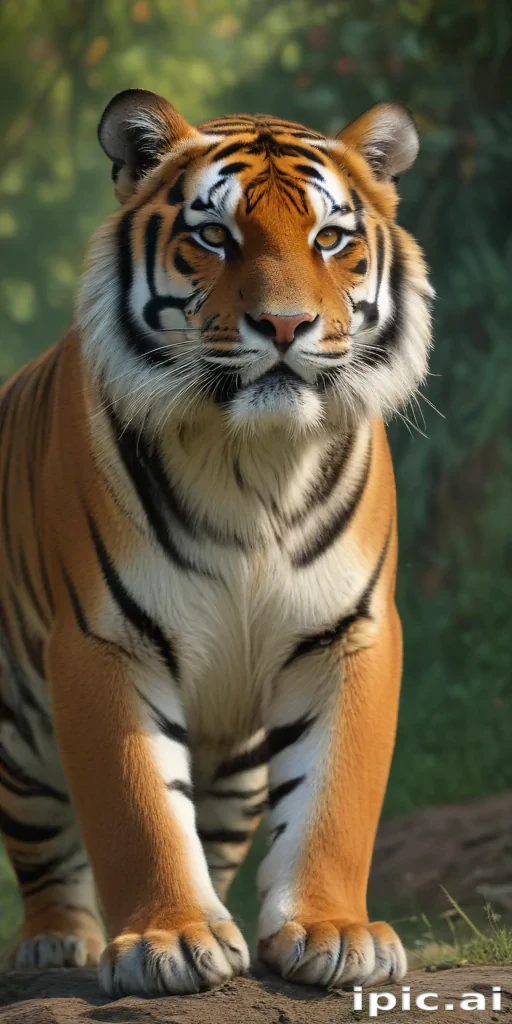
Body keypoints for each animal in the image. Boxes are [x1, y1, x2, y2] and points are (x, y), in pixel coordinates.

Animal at [0, 89, 433, 996]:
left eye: (329, 238)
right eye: (213, 236)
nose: (285, 323)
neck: (252, 462)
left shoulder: (349, 631)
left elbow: (333, 798)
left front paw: (330, 931)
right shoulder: (103, 641)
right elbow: (136, 806)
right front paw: (169, 941)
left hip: (235, 767)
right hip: (18, 732)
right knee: (42, 843)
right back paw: (55, 941)